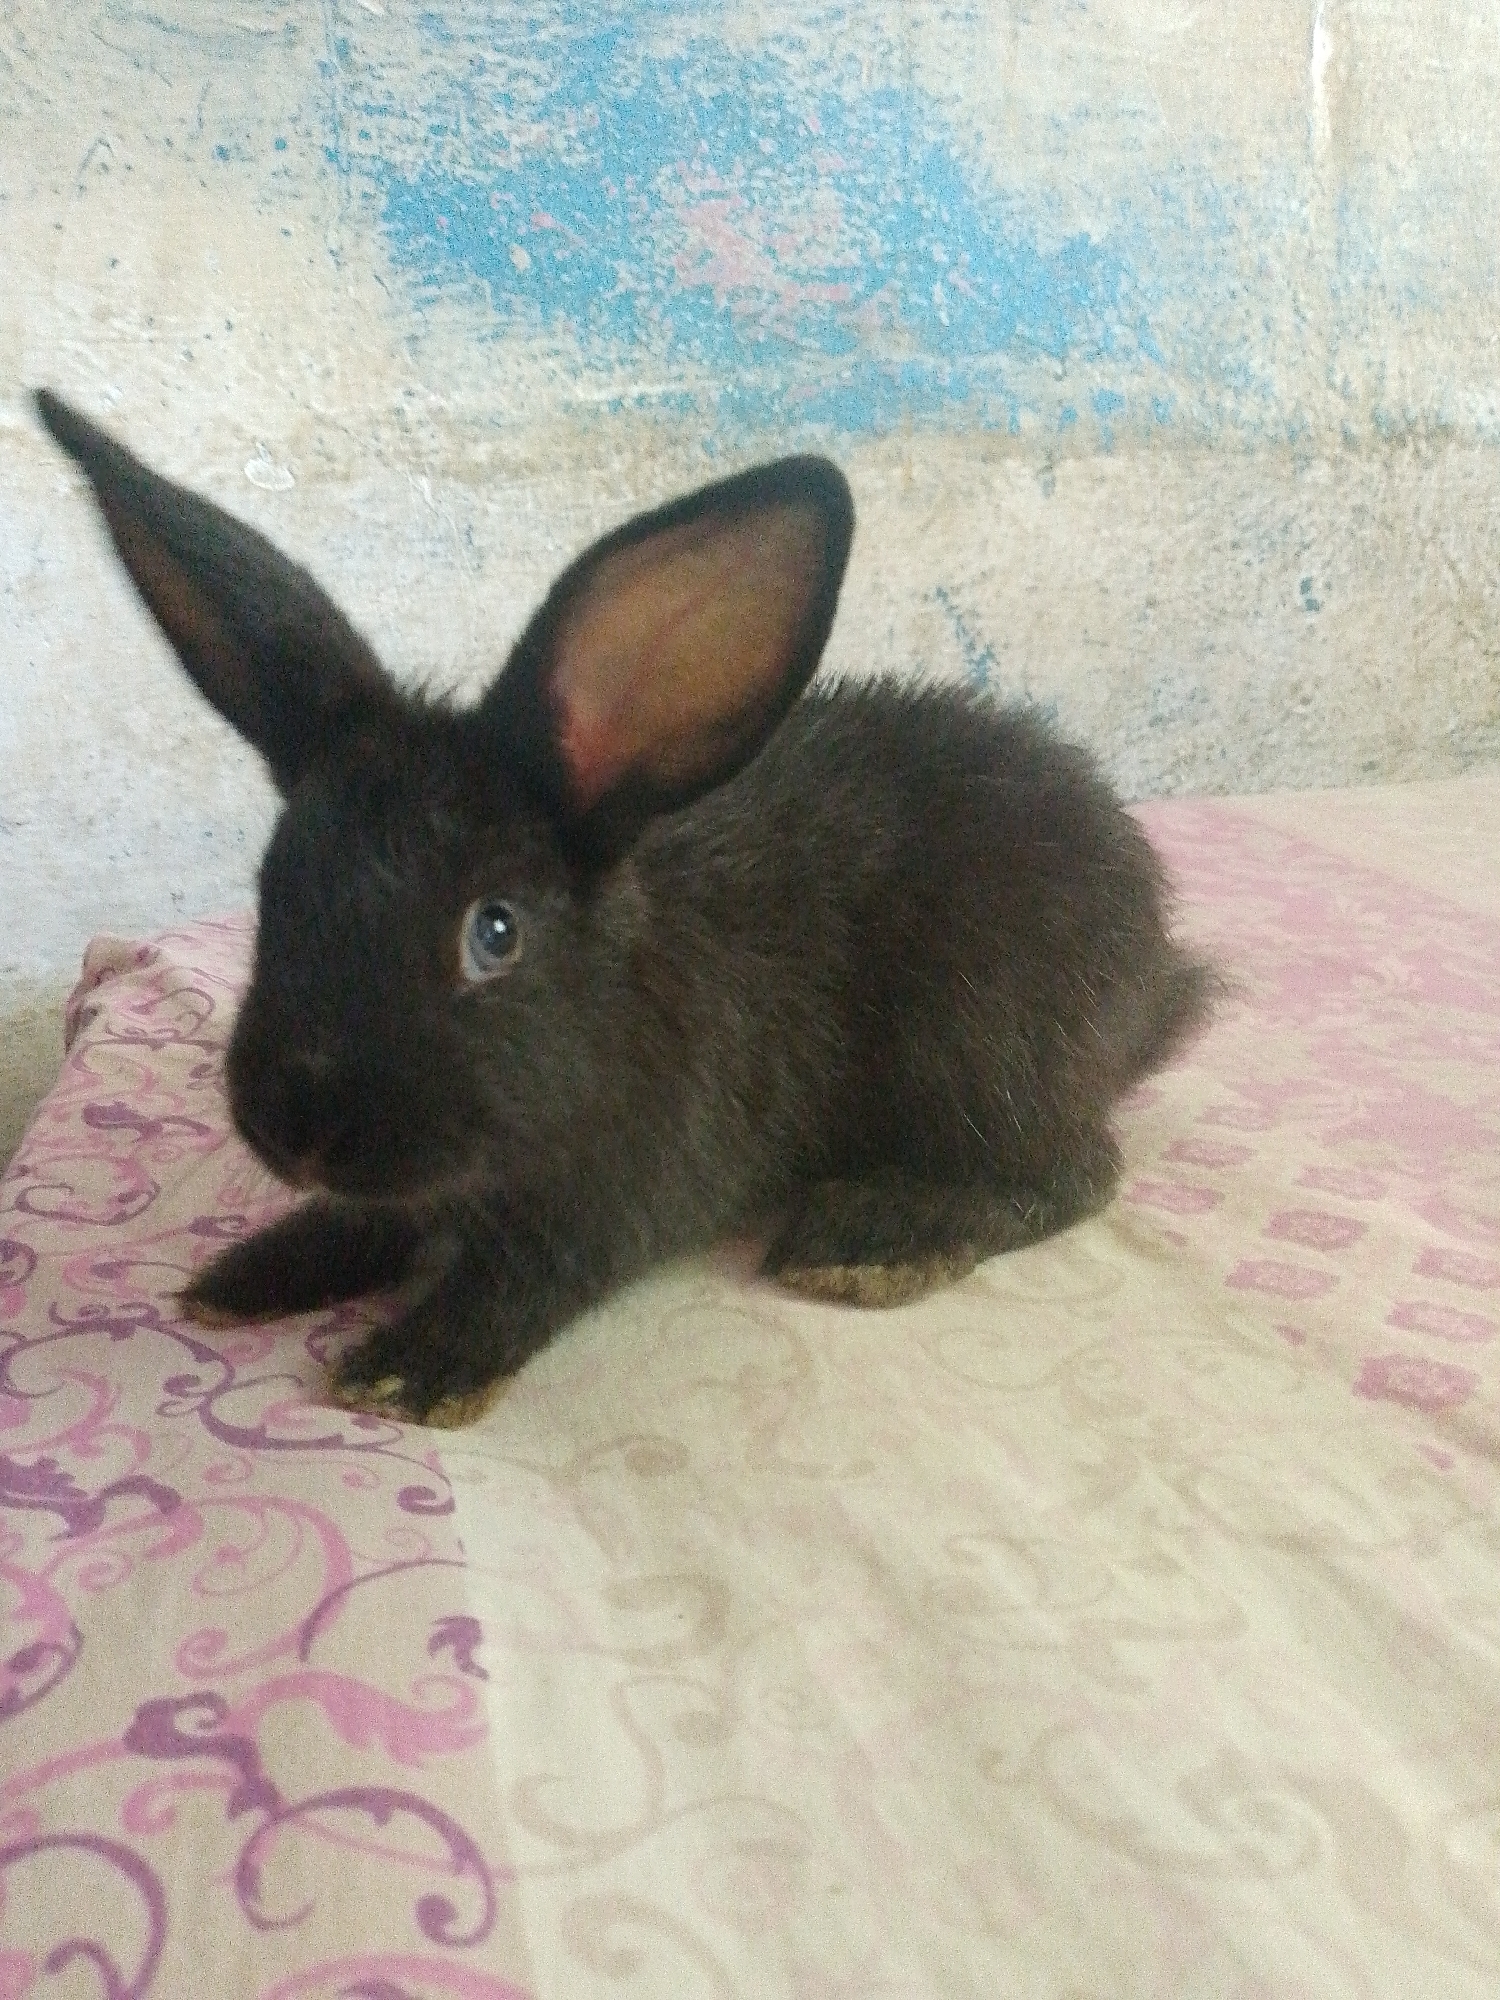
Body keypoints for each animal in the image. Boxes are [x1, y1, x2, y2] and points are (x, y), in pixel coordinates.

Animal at [35, 387, 1214, 1426]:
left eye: (494, 932)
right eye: (276, 888)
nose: (303, 1125)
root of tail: (1159, 973)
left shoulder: (621, 1189)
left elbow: (526, 1276)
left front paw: (412, 1368)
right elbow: (359, 1228)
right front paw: (247, 1274)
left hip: (980, 1044)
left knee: (1073, 1172)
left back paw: (875, 1238)